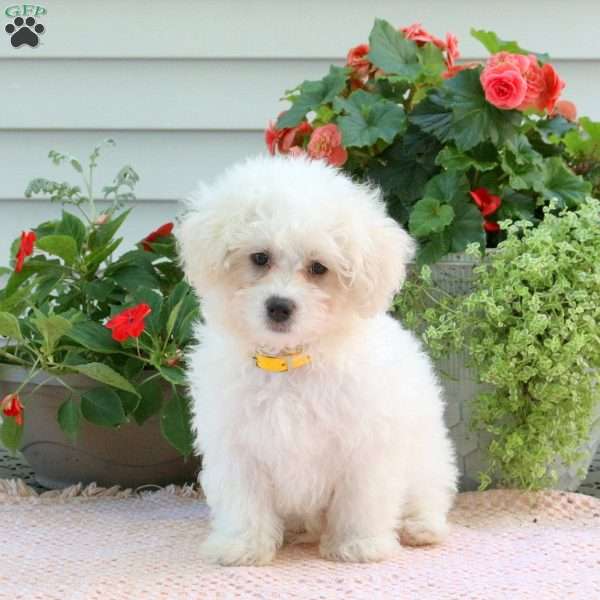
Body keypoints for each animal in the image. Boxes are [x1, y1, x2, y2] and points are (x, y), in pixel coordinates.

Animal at [176, 156, 458, 568]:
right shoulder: (237, 445)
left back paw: (420, 527)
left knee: (429, 491)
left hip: (427, 456)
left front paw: (359, 544)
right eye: (259, 258)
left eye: (318, 268)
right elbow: (245, 500)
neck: (289, 363)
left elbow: (361, 499)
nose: (279, 306)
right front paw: (243, 546)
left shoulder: (365, 444)